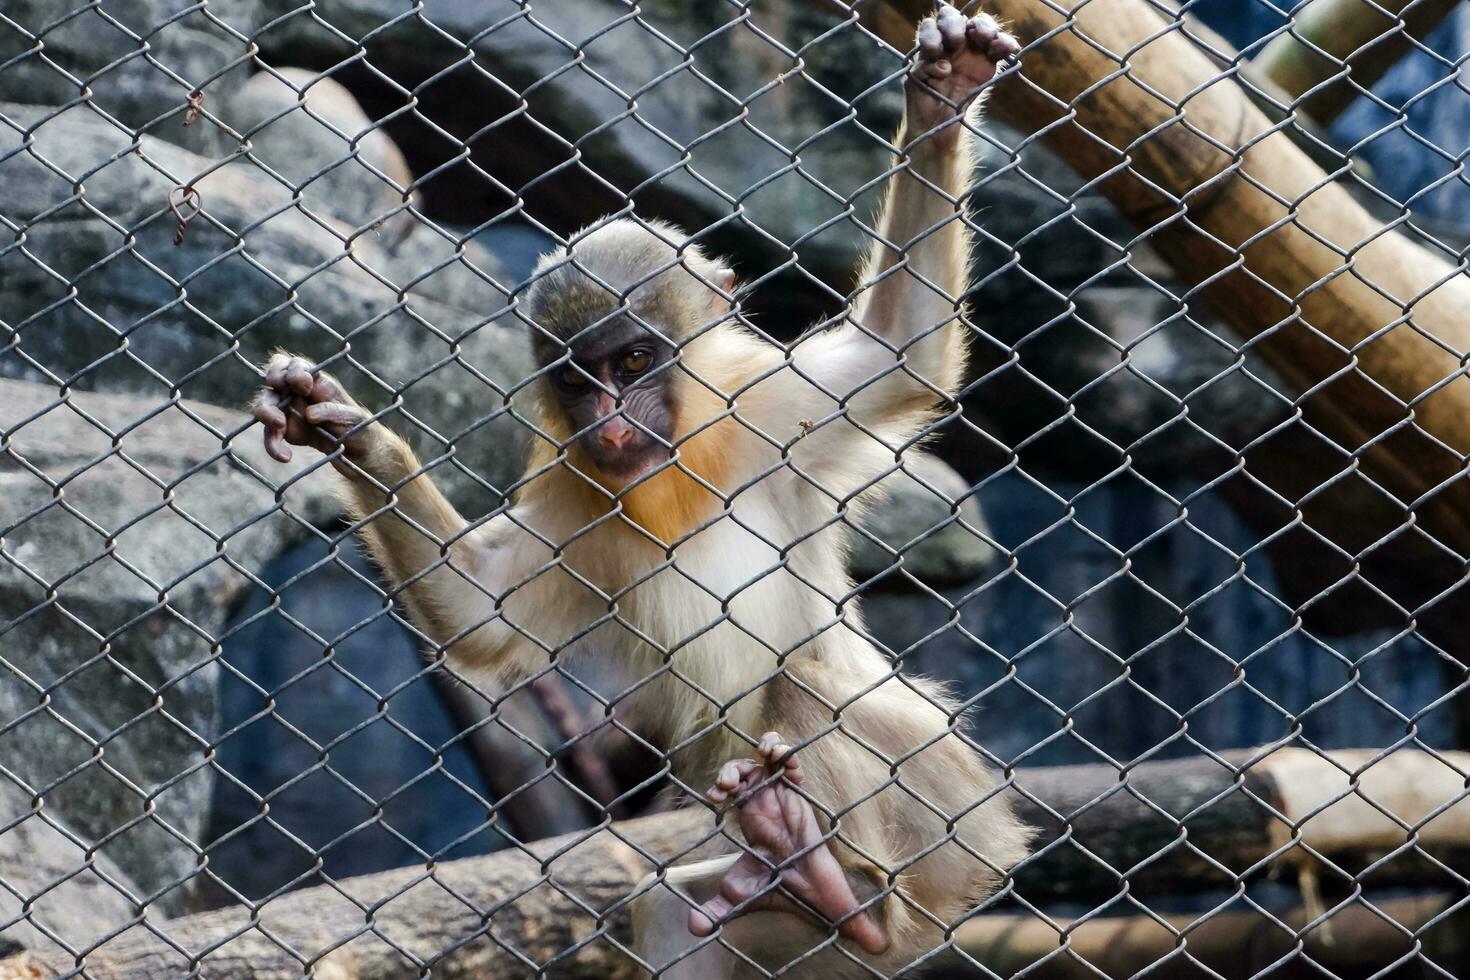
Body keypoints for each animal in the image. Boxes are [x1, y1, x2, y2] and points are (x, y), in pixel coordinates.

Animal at [252, 5, 1029, 975]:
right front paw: (343, 430)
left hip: (952, 817)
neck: (675, 469)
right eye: (579, 379)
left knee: (806, 684)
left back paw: (845, 886)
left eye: (632, 362)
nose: (613, 423)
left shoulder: (772, 408)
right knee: (674, 908)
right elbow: (479, 611)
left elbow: (905, 348)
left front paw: (940, 102)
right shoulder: (574, 488)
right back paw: (814, 887)